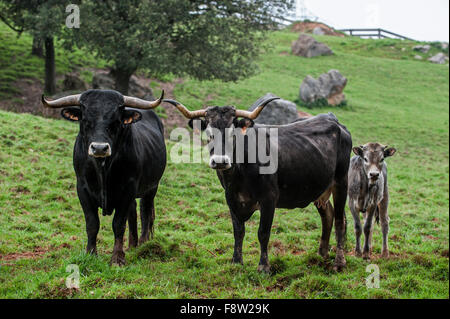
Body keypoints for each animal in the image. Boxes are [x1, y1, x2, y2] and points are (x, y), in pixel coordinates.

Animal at [42, 89, 167, 266]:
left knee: (145, 211)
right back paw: (132, 245)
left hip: (151, 187)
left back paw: (143, 244)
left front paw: (117, 258)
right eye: (85, 119)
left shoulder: (128, 189)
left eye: (116, 121)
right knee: (133, 212)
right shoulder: (82, 189)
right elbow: (92, 223)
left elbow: (119, 224)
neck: (103, 168)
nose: (99, 148)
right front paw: (91, 254)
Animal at [163, 98, 354, 272]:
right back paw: (321, 254)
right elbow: (238, 231)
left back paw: (339, 262)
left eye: (233, 134)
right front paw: (236, 262)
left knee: (339, 221)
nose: (220, 161)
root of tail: (334, 121)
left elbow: (263, 233)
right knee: (328, 215)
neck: (239, 173)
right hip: (319, 188)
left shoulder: (269, 199)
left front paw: (264, 266)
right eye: (209, 134)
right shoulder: (231, 198)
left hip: (341, 181)